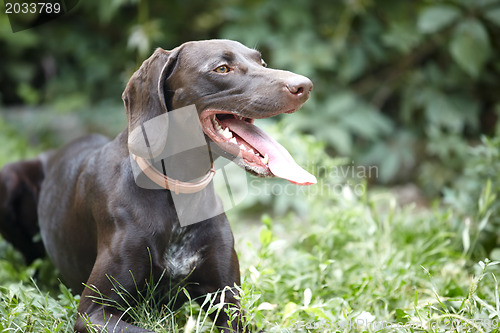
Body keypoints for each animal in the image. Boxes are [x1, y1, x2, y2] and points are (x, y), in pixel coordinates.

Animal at [0, 40, 312, 330]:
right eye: (222, 69)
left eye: (262, 62)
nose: (305, 86)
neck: (179, 194)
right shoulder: (94, 312)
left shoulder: (229, 304)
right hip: (8, 178)